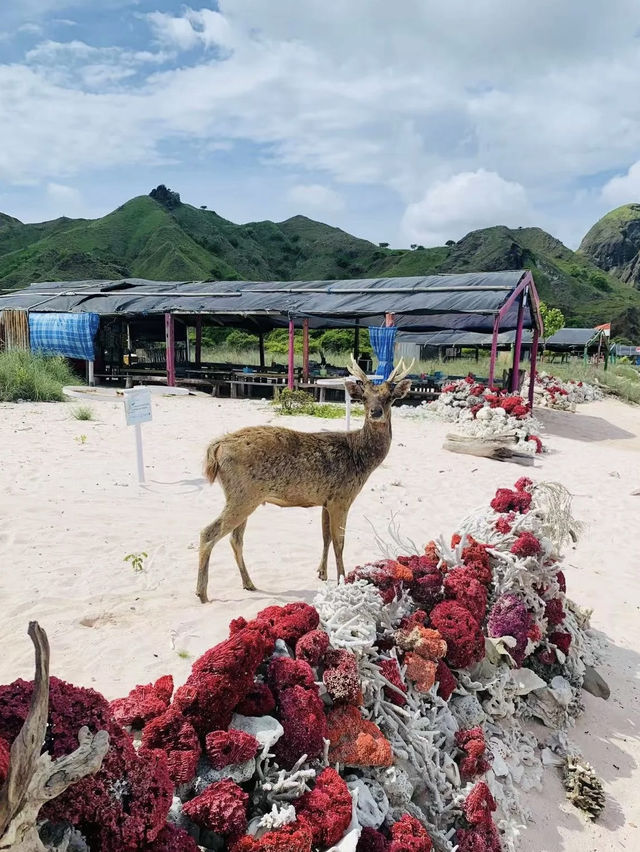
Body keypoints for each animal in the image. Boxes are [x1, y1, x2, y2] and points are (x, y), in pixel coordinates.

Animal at [196, 356, 416, 604]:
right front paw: (342, 579)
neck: (360, 458)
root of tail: (217, 448)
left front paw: (322, 573)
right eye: (364, 398)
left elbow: (325, 537)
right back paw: (202, 593)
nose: (376, 412)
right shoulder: (342, 497)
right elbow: (339, 542)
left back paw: (248, 583)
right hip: (244, 495)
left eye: (389, 397)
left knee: (235, 538)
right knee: (209, 533)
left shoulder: (326, 501)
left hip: (244, 496)